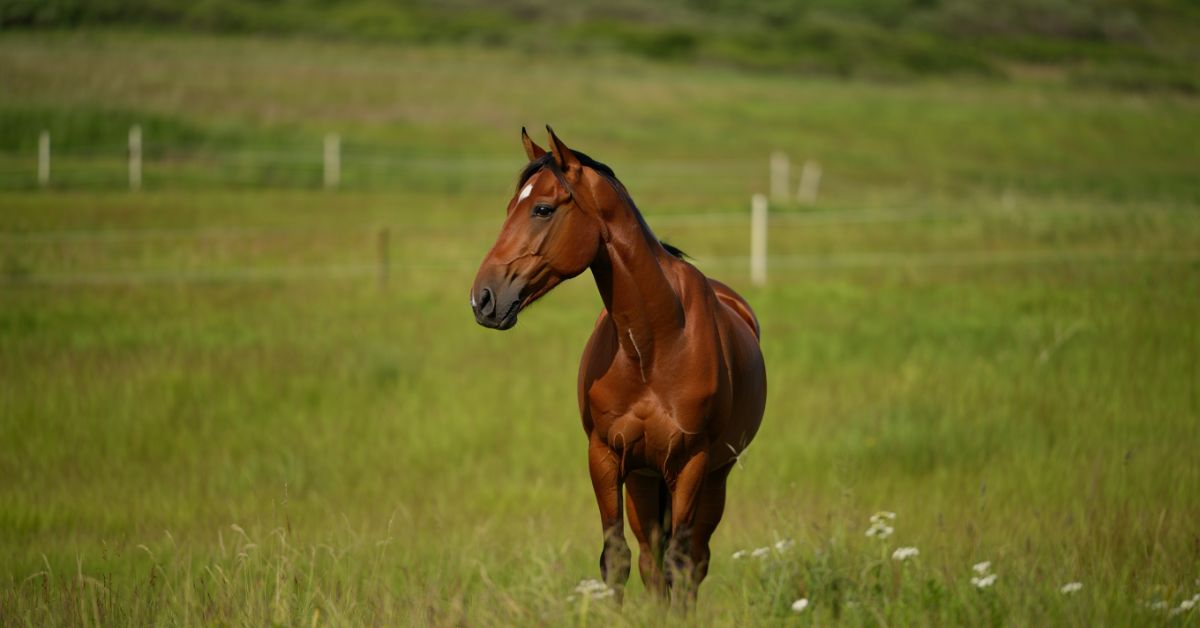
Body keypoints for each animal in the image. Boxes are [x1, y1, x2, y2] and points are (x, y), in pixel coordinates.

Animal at [470, 127, 766, 604]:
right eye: (510, 206)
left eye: (542, 208)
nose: (483, 298)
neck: (654, 343)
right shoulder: (605, 455)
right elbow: (618, 558)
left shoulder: (692, 463)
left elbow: (680, 563)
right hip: (645, 478)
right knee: (650, 558)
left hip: (714, 476)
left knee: (692, 561)